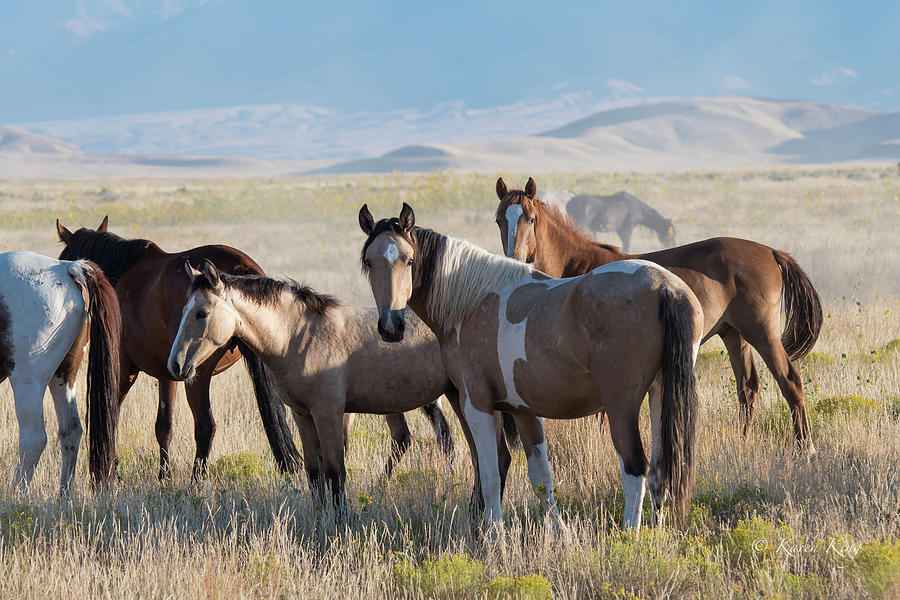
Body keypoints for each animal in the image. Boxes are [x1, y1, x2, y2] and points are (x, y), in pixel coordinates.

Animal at [0, 251, 121, 490]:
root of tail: (65, 268)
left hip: (28, 382)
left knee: (34, 439)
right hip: (63, 377)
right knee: (71, 431)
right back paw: (64, 494)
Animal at [358, 203, 704, 536]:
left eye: (409, 260)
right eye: (369, 263)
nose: (391, 326)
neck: (472, 303)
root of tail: (664, 287)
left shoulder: (476, 404)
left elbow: (490, 475)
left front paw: (494, 537)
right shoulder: (523, 410)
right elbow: (540, 478)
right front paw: (560, 534)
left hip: (622, 407)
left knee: (635, 469)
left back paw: (629, 537)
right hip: (660, 394)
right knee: (660, 469)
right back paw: (654, 536)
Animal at [496, 175, 828, 450]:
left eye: (531, 218)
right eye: (500, 220)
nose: (514, 259)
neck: (577, 271)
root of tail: (771, 252)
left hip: (762, 332)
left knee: (790, 382)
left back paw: (805, 447)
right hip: (735, 335)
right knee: (747, 388)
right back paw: (742, 441)